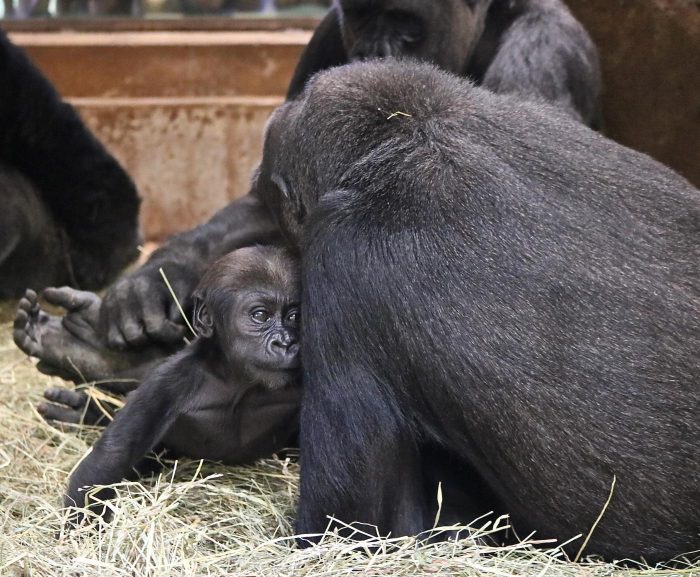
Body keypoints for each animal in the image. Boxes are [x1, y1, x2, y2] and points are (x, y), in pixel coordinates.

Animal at [61, 243, 300, 508]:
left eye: (293, 316)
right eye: (260, 315)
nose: (285, 343)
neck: (235, 377)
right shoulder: (169, 382)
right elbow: (114, 454)